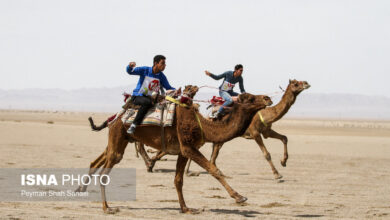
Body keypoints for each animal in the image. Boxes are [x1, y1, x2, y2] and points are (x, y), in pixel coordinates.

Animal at [76, 85, 272, 214]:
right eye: (250, 98)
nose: (267, 98)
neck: (204, 126)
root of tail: (116, 116)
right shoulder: (188, 147)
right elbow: (213, 169)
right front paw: (239, 197)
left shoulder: (182, 150)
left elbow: (178, 180)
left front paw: (186, 208)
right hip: (118, 137)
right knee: (105, 170)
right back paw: (107, 208)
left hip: (120, 139)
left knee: (97, 160)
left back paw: (81, 190)